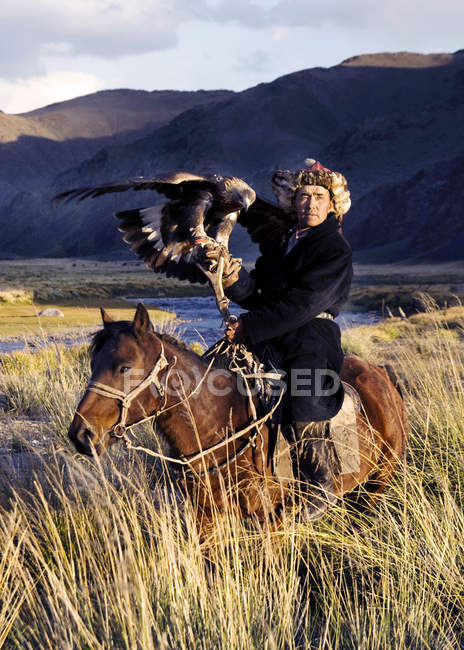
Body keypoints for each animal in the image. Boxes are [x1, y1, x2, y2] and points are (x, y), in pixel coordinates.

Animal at [67, 302, 408, 528]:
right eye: (93, 364)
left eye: (124, 367)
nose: (81, 434)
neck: (222, 426)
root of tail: (382, 373)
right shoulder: (206, 517)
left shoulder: (271, 522)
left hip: (376, 485)